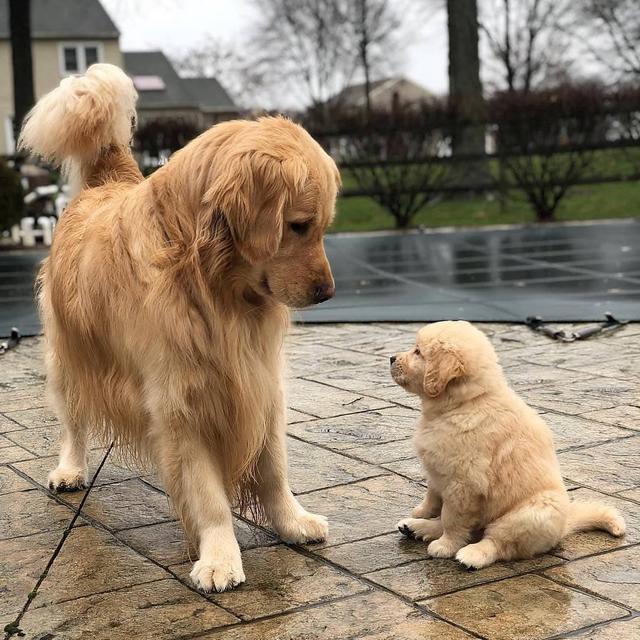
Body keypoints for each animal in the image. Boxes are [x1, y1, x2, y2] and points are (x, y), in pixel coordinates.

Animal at [20, 63, 340, 592]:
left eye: (322, 227)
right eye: (298, 225)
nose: (328, 292)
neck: (211, 285)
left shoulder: (261, 381)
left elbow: (274, 468)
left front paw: (292, 521)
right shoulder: (180, 405)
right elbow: (209, 498)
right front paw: (219, 558)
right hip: (69, 356)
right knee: (74, 421)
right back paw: (70, 468)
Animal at [390, 322, 624, 568]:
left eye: (418, 352)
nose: (391, 358)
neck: (468, 402)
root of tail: (563, 527)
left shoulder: (463, 483)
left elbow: (452, 519)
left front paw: (446, 546)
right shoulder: (437, 468)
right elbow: (434, 497)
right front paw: (421, 512)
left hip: (529, 515)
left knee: (497, 542)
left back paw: (471, 554)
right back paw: (415, 527)